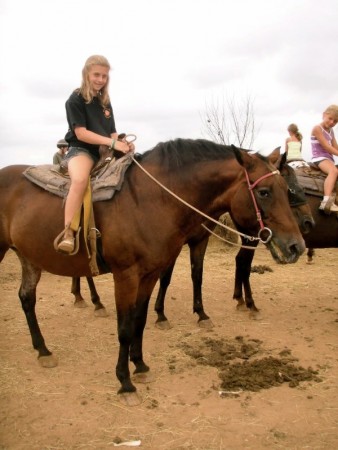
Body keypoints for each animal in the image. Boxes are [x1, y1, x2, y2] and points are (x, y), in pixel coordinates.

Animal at [0, 138, 304, 404]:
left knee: (26, 298)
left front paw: (140, 365)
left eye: (285, 189)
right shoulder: (126, 276)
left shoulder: (149, 275)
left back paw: (43, 350)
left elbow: (140, 320)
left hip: (29, 258)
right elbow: (124, 328)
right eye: (264, 192)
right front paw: (125, 383)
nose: (297, 246)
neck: (148, 200)